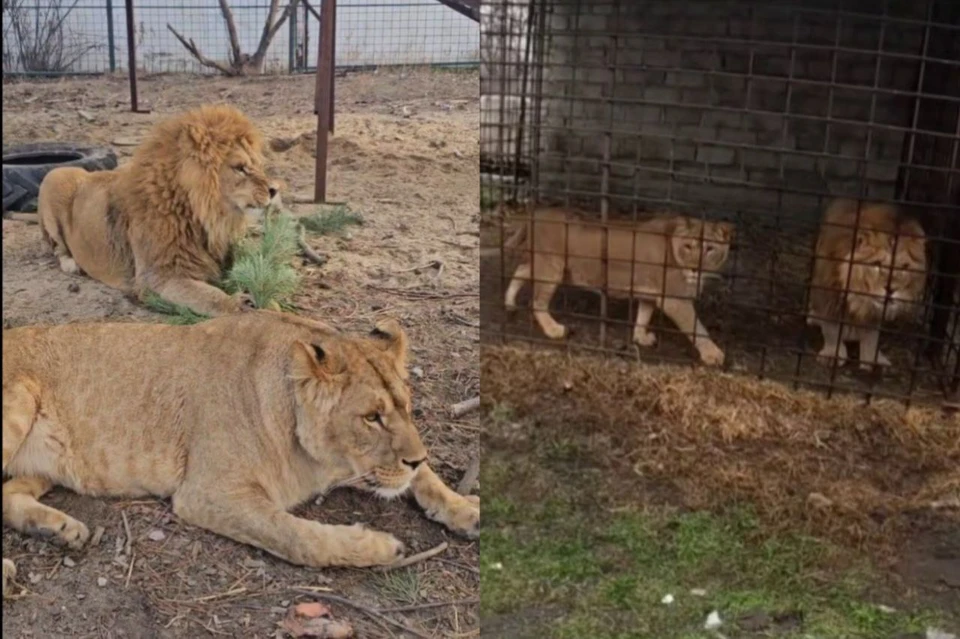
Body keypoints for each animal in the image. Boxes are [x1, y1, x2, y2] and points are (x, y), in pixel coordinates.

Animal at [0, 312, 480, 596]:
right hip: (18, 402)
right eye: (371, 417)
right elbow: (297, 537)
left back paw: (59, 530)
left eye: (406, 408)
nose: (413, 457)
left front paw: (466, 509)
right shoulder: (208, 493)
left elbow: (425, 479)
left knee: (8, 497)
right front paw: (378, 546)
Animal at [38, 105, 284, 320]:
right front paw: (243, 305)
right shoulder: (157, 279)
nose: (274, 190)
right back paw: (72, 265)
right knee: (57, 246)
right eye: (240, 168)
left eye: (256, 165)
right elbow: (213, 298)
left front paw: (271, 302)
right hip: (55, 177)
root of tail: (86, 174)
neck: (205, 218)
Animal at [502, 208, 736, 368]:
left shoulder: (650, 292)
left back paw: (509, 302)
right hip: (551, 267)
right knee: (536, 302)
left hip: (546, 265)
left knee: (520, 271)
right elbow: (697, 327)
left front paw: (640, 338)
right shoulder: (674, 299)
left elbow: (643, 315)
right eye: (688, 246)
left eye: (710, 249)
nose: (695, 269)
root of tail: (536, 212)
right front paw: (713, 353)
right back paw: (554, 329)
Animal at [808, 199, 928, 370]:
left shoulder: (875, 315)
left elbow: (872, 336)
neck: (859, 299)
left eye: (903, 267)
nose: (891, 289)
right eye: (876, 264)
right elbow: (831, 328)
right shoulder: (828, 295)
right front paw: (833, 354)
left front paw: (872, 360)